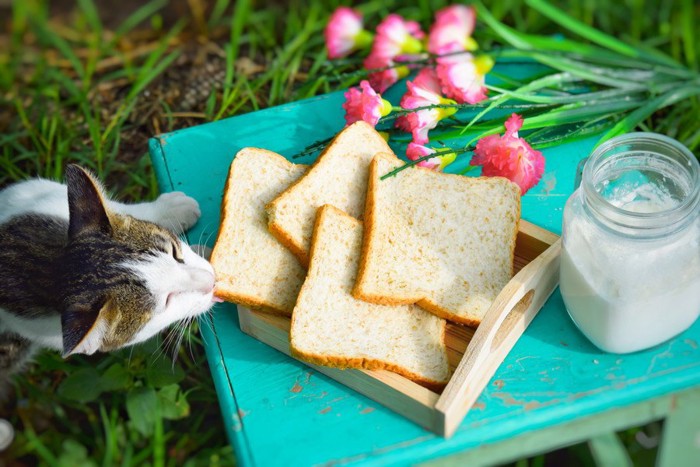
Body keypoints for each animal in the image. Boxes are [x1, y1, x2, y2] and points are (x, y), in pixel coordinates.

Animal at [0, 166, 219, 386]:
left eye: (174, 251)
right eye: (167, 300)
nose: (210, 281)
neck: (50, 267)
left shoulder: (37, 195)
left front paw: (168, 210)